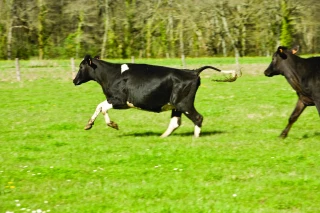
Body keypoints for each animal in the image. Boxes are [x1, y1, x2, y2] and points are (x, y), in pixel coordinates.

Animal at [73, 55, 238, 137]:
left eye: (81, 66)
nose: (74, 80)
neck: (111, 74)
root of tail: (192, 71)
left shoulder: (119, 100)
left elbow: (102, 108)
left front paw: (113, 124)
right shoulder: (117, 101)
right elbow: (99, 106)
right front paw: (88, 125)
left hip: (183, 103)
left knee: (198, 118)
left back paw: (195, 139)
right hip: (176, 104)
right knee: (175, 122)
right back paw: (162, 137)